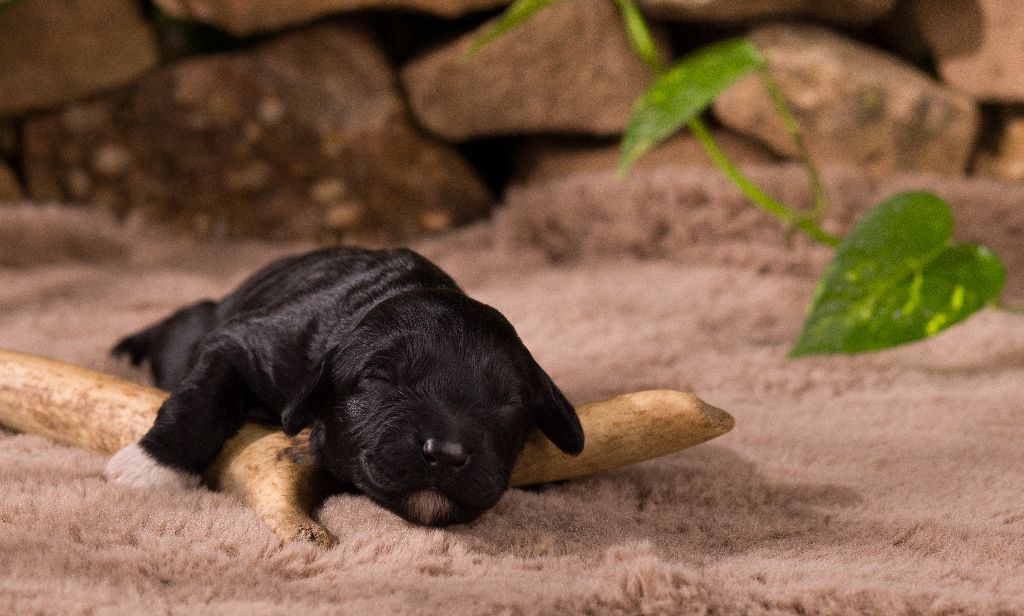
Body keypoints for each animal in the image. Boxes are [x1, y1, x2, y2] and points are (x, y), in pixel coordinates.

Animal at [106, 247, 584, 526]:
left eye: (508, 403)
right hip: (191, 332)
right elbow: (199, 401)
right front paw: (150, 466)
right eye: (381, 379)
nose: (447, 454)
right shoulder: (244, 342)